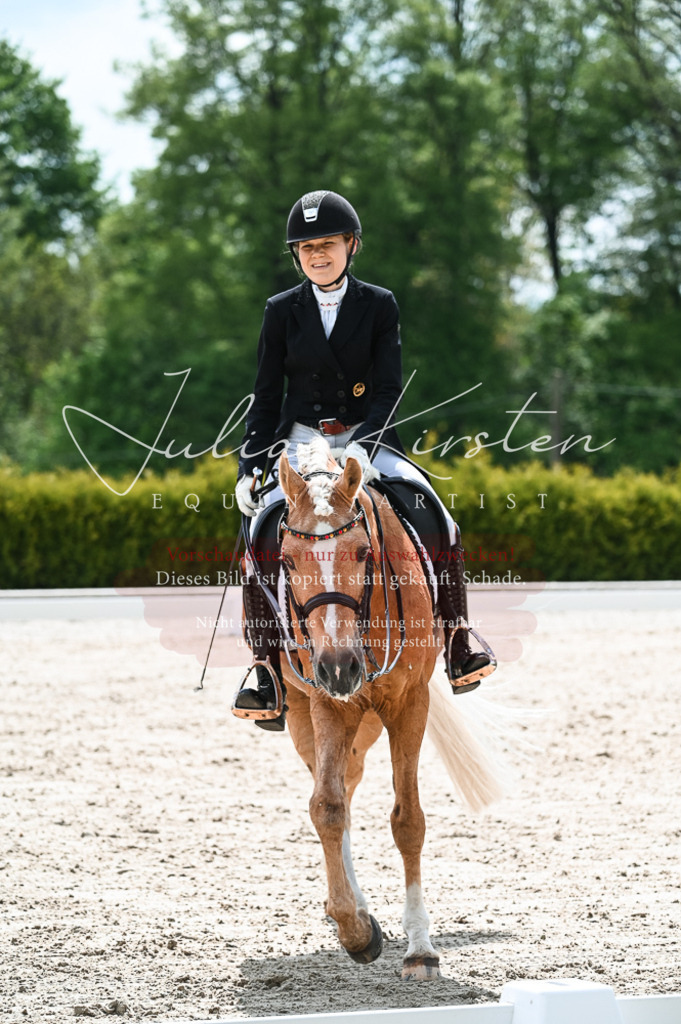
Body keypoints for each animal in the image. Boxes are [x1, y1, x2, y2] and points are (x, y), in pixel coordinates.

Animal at [243, 437, 505, 979]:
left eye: (363, 552)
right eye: (288, 561)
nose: (339, 666)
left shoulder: (409, 703)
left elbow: (408, 820)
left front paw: (420, 948)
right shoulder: (325, 703)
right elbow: (326, 807)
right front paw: (356, 931)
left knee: (353, 784)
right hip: (312, 715)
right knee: (337, 793)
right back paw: (350, 907)